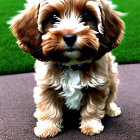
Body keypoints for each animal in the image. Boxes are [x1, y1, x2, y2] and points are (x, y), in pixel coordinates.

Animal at [10, 0, 124, 138]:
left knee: (110, 97)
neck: (71, 65)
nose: (70, 37)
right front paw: (47, 128)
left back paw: (111, 109)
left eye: (86, 15)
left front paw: (91, 126)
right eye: (53, 17)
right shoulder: (46, 86)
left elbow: (92, 108)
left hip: (112, 78)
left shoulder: (97, 86)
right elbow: (49, 108)